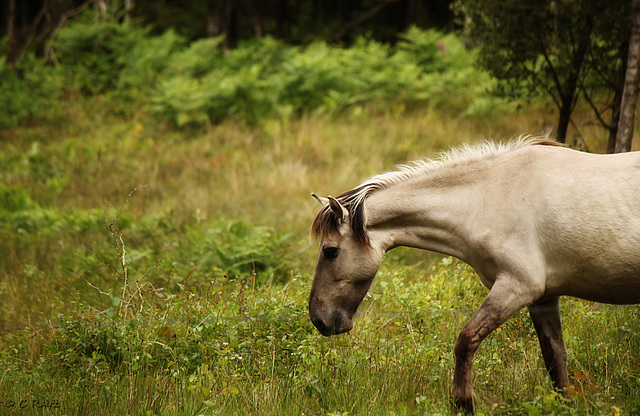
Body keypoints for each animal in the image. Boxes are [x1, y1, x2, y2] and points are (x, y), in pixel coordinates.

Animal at [308, 138, 636, 412]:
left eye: (330, 251)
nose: (319, 320)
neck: (486, 198)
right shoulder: (543, 299)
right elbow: (556, 360)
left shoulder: (517, 287)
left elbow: (466, 341)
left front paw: (463, 402)